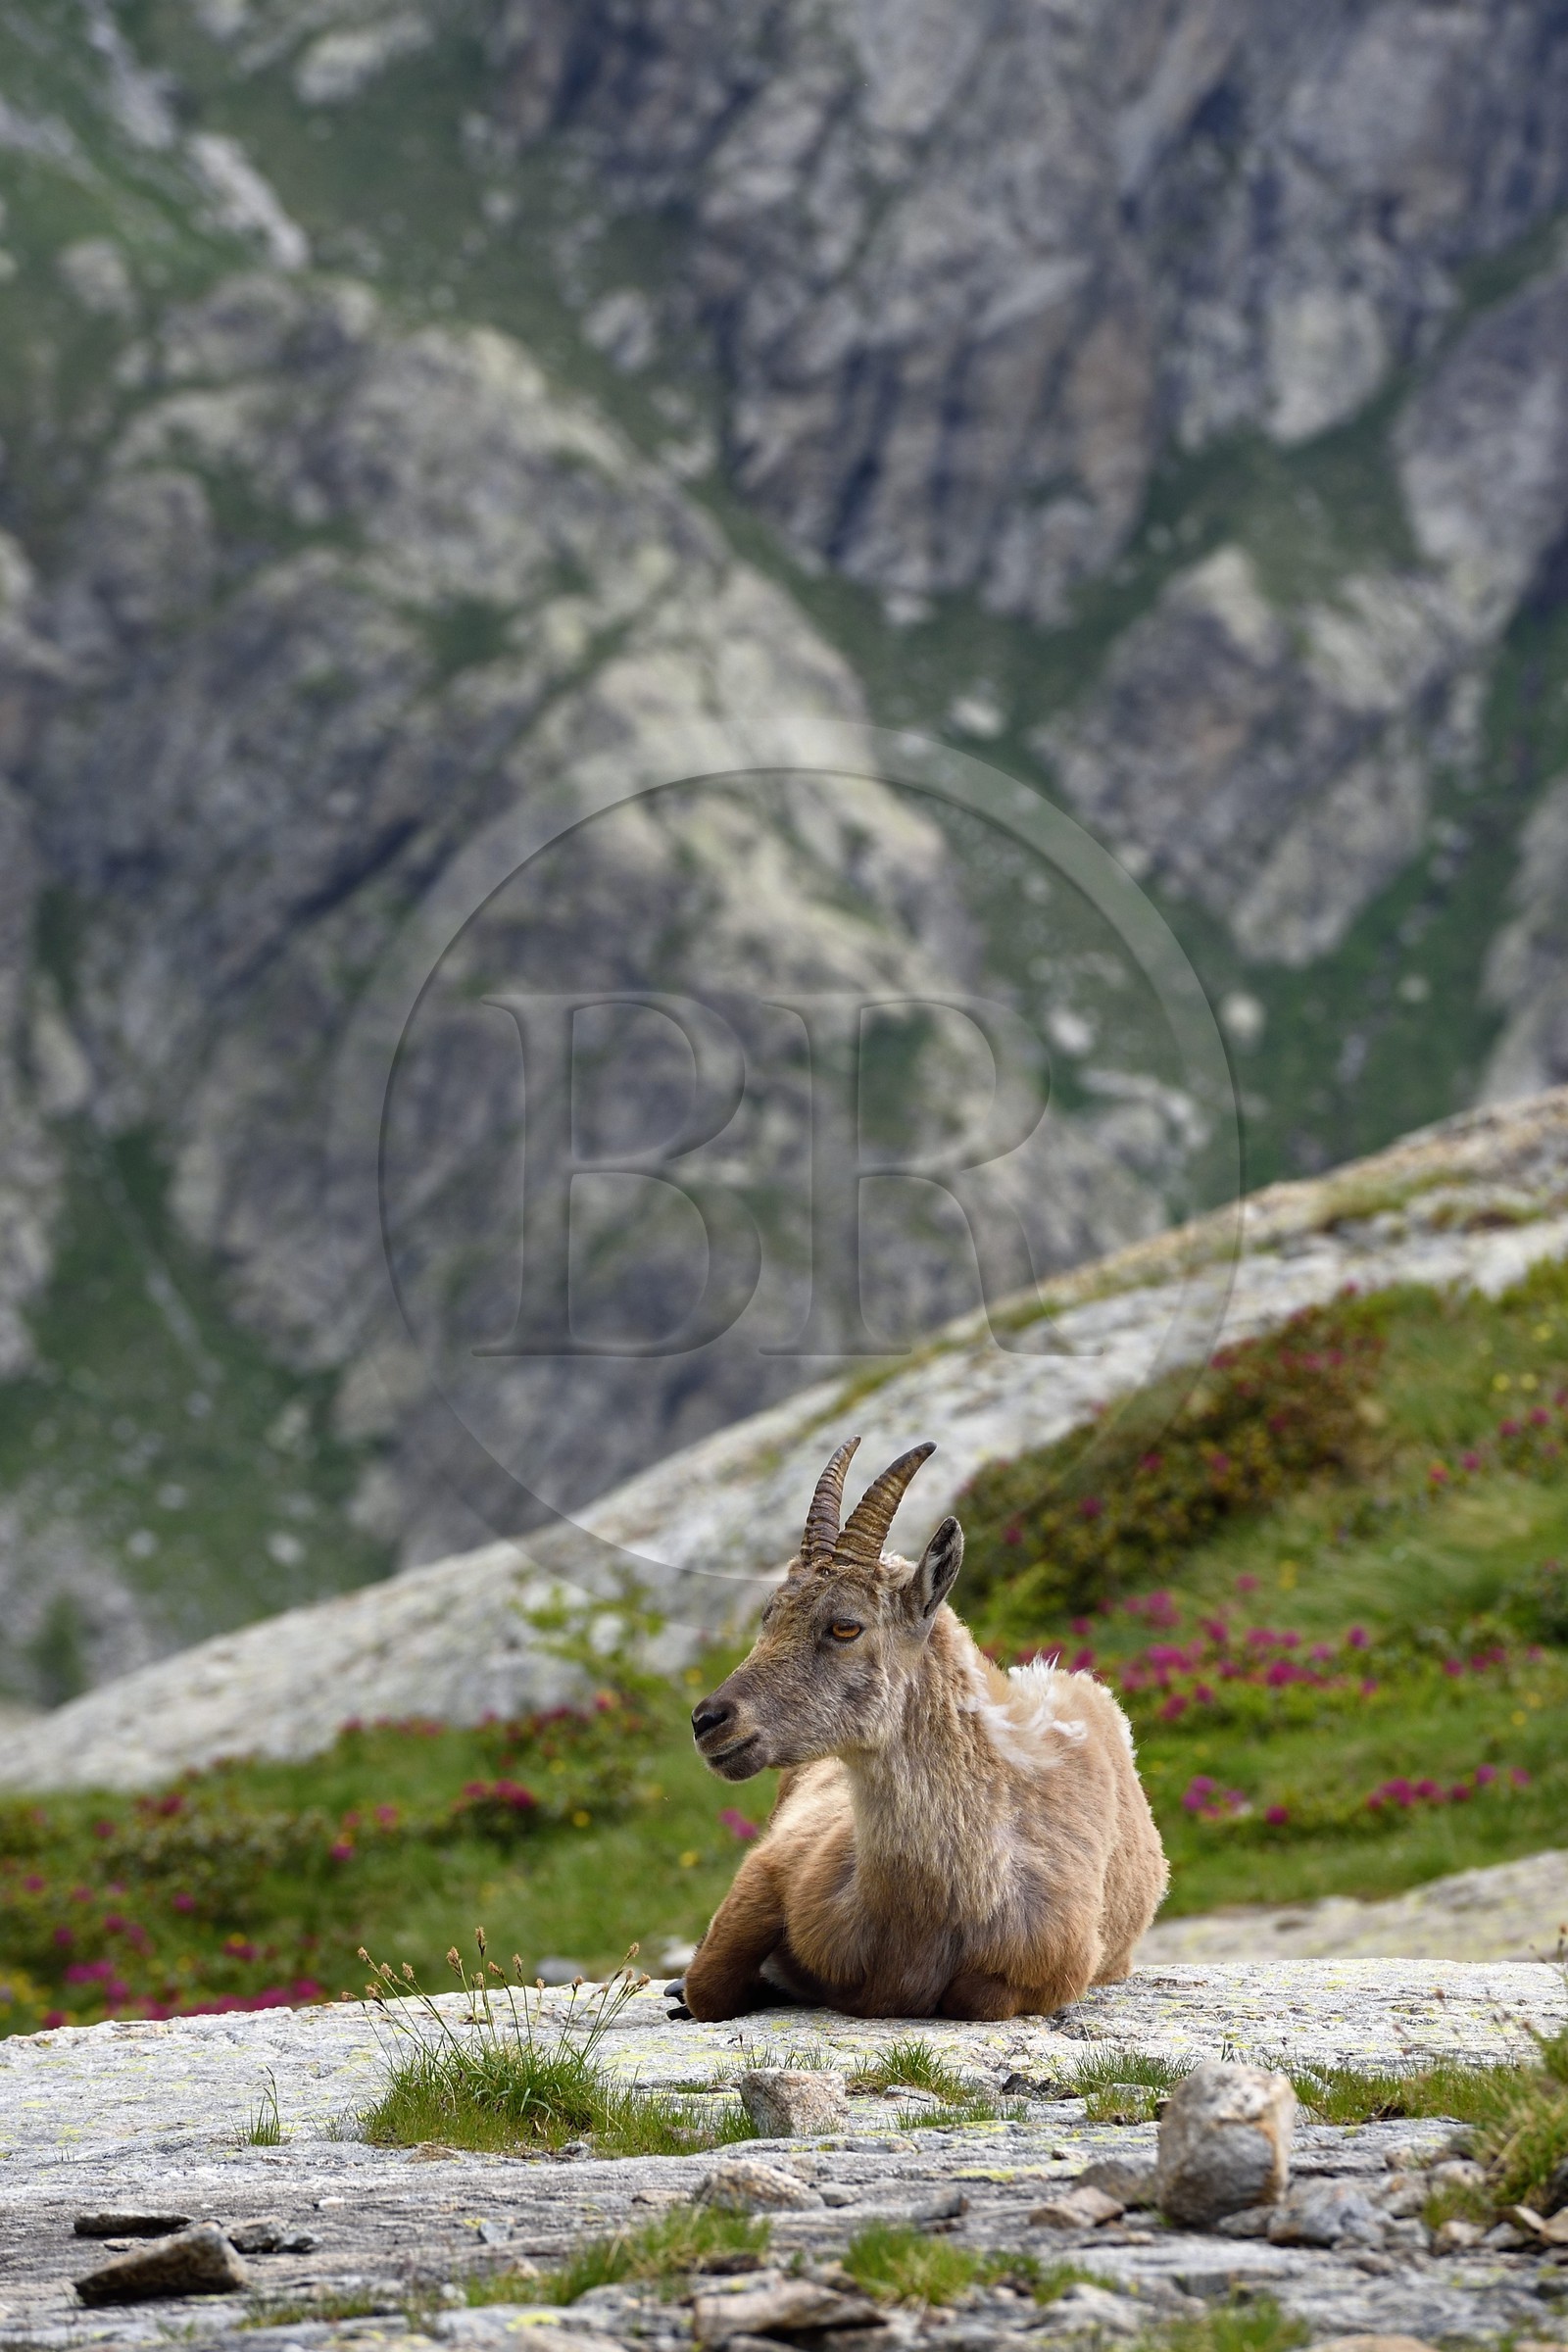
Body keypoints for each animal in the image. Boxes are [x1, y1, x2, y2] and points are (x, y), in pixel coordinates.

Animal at [675, 1437, 1168, 2021]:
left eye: (845, 1626)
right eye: (769, 1615)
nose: (709, 1721)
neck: (926, 1901)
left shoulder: (1052, 1971)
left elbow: (975, 1998)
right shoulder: (771, 1868)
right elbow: (709, 1987)